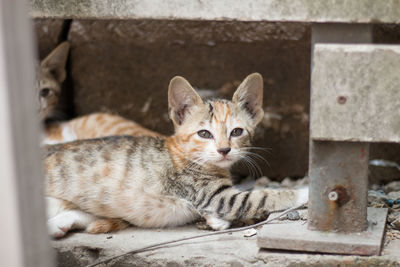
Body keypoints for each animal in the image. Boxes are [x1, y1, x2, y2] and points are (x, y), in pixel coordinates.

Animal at [43, 73, 308, 239]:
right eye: (204, 133)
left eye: (237, 131)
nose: (224, 150)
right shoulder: (215, 196)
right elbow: (263, 196)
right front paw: (304, 192)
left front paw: (215, 221)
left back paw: (58, 224)